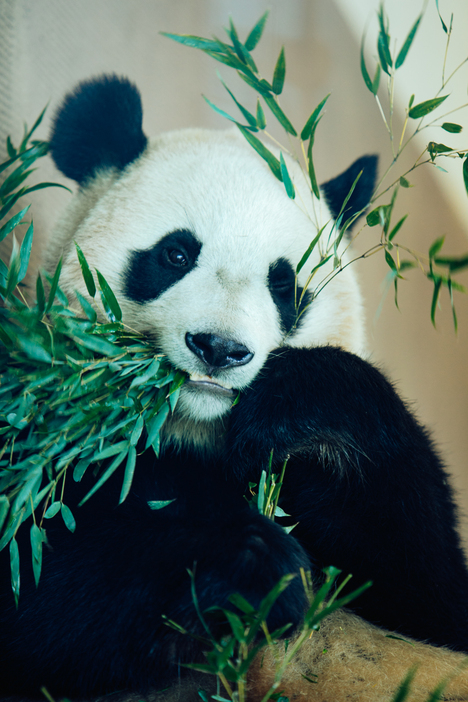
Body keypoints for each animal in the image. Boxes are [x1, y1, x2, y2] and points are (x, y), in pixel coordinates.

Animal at [0, 74, 468, 700]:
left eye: (285, 284)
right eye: (175, 254)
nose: (220, 348)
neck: (193, 433)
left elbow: (426, 589)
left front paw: (297, 407)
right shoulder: (51, 441)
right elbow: (43, 580)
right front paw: (255, 567)